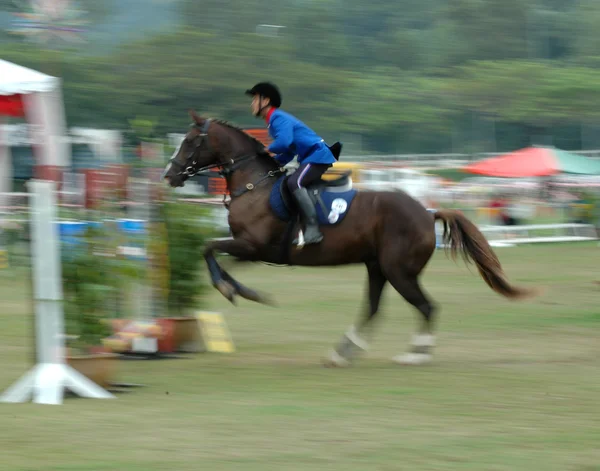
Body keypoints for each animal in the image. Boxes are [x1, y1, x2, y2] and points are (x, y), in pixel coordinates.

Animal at [163, 111, 540, 368]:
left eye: (191, 141)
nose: (169, 175)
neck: (254, 184)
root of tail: (426, 212)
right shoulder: (249, 251)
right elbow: (217, 257)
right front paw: (241, 290)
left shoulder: (252, 246)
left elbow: (209, 249)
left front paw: (232, 290)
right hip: (377, 267)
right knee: (373, 308)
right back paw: (343, 352)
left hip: (398, 271)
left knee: (425, 306)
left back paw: (415, 354)